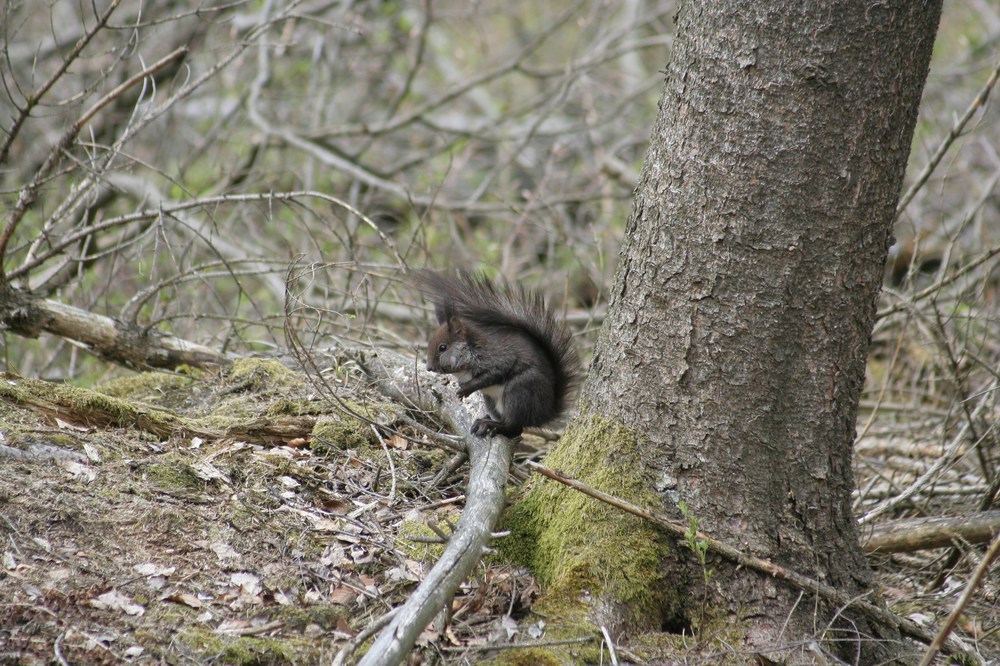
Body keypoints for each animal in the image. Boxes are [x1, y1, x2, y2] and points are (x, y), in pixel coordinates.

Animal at [414, 268, 584, 438]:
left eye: (442, 347)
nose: (429, 367)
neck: (471, 349)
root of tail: (545, 414)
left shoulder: (497, 357)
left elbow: (495, 372)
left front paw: (466, 388)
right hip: (491, 400)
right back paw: (487, 421)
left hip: (520, 390)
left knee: (514, 427)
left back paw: (492, 425)